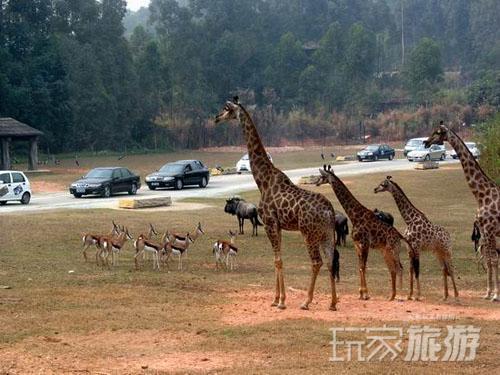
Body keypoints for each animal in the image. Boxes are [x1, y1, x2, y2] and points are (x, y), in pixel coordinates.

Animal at [215, 97, 340, 312]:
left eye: (226, 109)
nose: (215, 118)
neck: (263, 181)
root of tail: (329, 211)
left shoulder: (270, 223)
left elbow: (278, 260)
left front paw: (281, 301)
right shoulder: (278, 226)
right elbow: (277, 260)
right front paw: (275, 299)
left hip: (308, 232)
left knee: (317, 262)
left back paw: (306, 302)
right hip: (326, 233)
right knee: (330, 261)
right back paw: (332, 303)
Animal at [316, 166, 410, 302]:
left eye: (322, 176)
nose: (316, 182)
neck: (354, 216)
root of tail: (400, 236)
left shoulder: (365, 244)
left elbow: (363, 267)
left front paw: (365, 294)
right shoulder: (357, 244)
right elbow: (360, 267)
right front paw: (361, 293)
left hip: (394, 249)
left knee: (399, 268)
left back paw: (400, 295)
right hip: (386, 250)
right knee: (393, 269)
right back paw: (392, 296)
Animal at [424, 123, 498, 302]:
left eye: (438, 132)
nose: (426, 142)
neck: (481, 195)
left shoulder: (490, 230)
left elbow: (493, 260)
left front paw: (495, 295)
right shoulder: (484, 231)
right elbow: (489, 261)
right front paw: (488, 293)